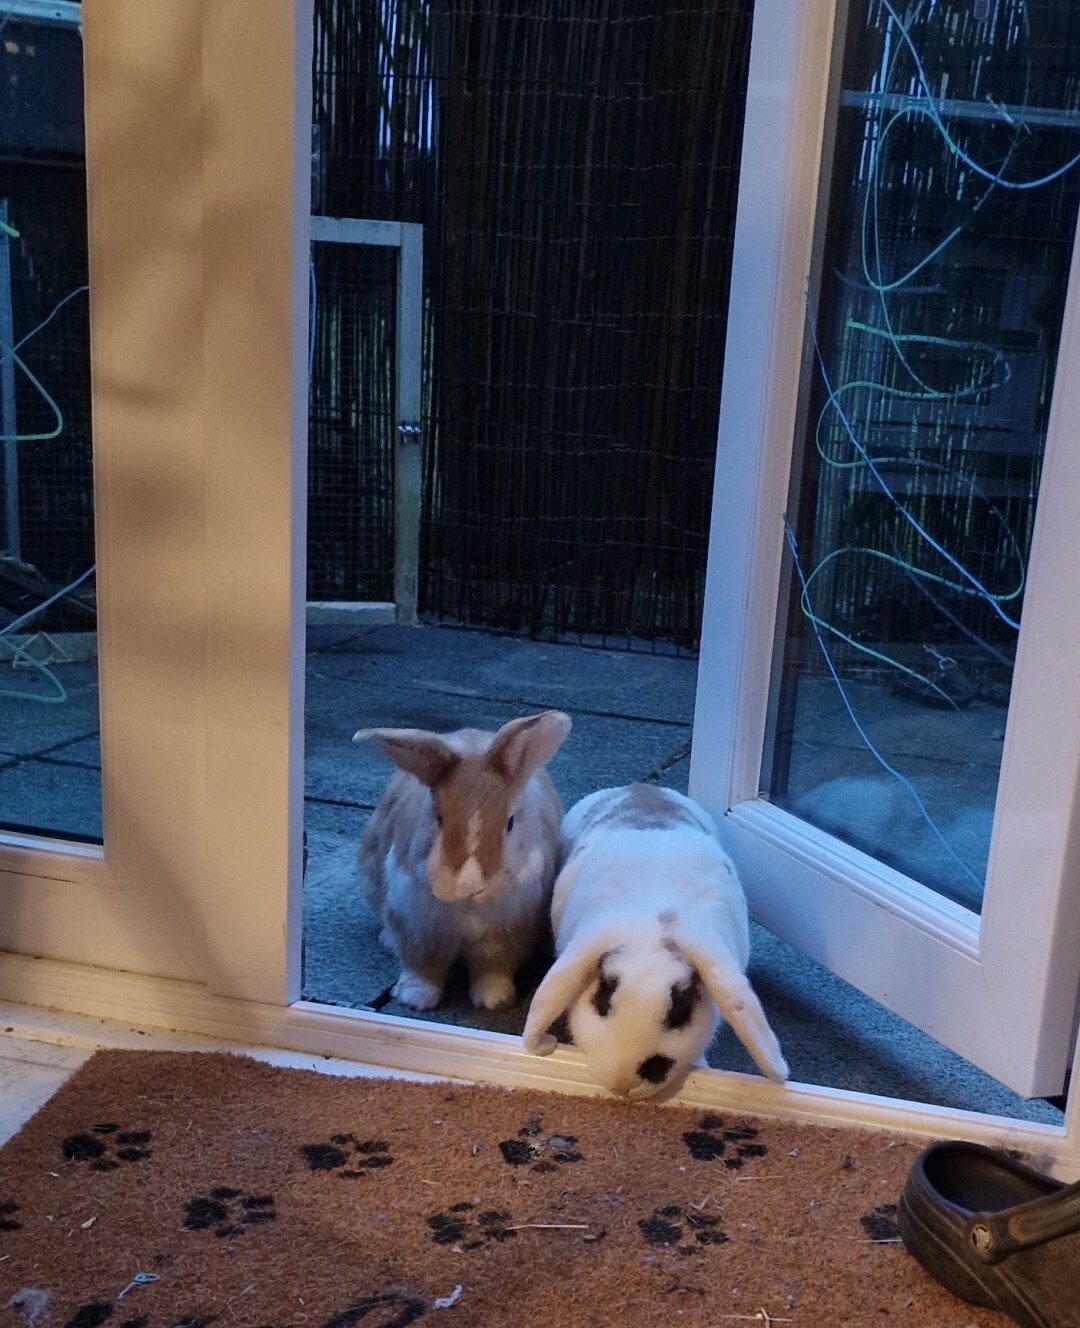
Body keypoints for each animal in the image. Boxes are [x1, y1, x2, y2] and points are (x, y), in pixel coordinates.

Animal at [354, 710, 572, 1012]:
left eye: (510, 822)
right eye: (439, 818)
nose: (469, 885)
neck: (467, 908)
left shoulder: (504, 936)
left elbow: (492, 969)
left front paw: (494, 1001)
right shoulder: (417, 927)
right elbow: (423, 967)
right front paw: (415, 998)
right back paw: (387, 941)